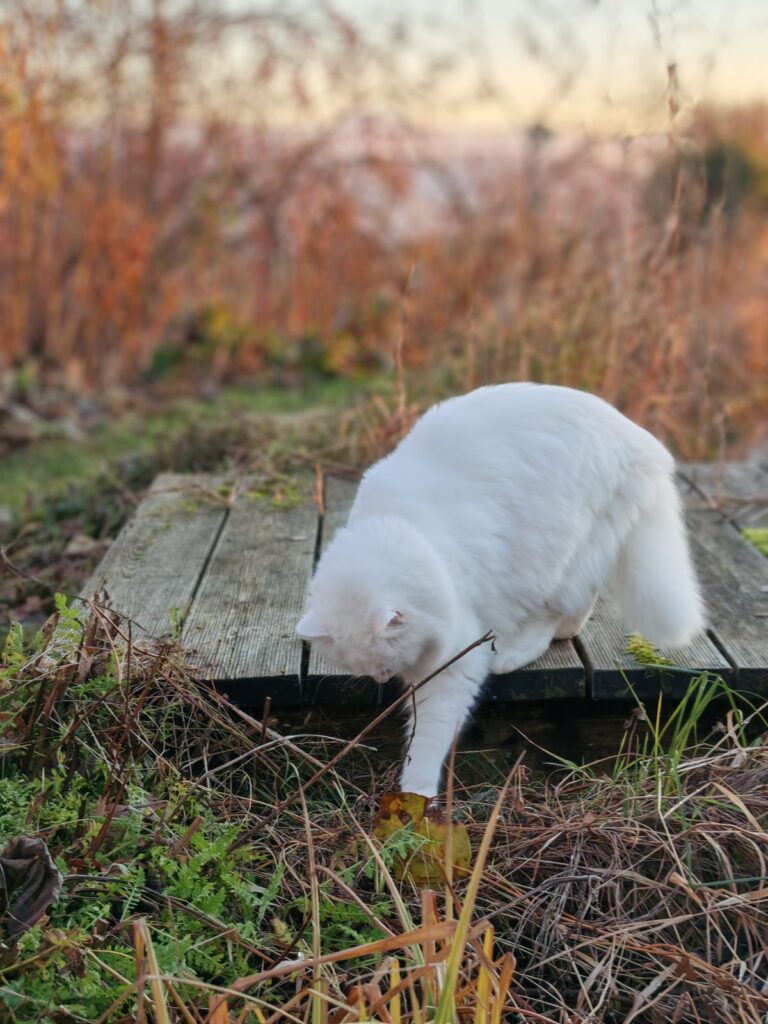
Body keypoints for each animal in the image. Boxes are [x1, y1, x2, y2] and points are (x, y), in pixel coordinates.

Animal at [296, 382, 708, 790]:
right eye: (365, 668)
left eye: (383, 663)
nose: (383, 678)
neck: (402, 529)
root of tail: (639, 438)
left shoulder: (453, 662)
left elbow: (427, 741)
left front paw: (415, 796)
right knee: (580, 604)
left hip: (557, 554)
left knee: (551, 616)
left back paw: (512, 654)